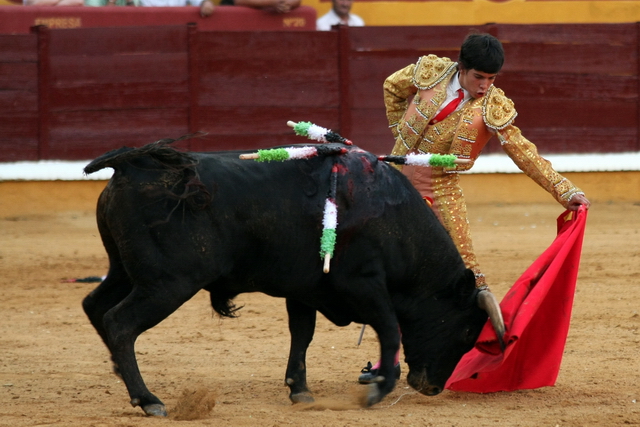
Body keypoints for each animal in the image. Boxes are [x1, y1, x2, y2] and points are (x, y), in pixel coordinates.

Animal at [81, 140, 504, 418]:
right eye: (467, 332)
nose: (432, 387)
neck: (391, 218)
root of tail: (133, 167)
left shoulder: (305, 289)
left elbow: (302, 334)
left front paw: (299, 390)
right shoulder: (364, 284)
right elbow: (389, 330)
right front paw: (378, 389)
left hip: (125, 272)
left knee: (95, 306)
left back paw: (123, 377)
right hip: (168, 283)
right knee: (120, 322)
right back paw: (148, 399)